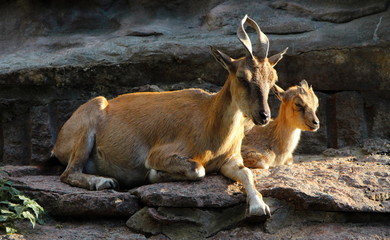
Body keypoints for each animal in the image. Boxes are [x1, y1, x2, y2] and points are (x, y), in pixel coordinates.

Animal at [52, 15, 286, 218]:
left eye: (273, 78)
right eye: (242, 77)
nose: (264, 116)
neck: (209, 120)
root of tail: (58, 143)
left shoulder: (230, 160)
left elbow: (246, 173)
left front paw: (259, 207)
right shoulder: (159, 154)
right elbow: (197, 169)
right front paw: (153, 175)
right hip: (87, 126)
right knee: (68, 173)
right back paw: (104, 182)